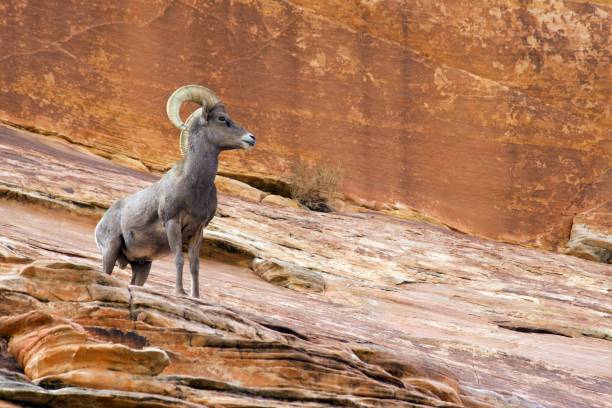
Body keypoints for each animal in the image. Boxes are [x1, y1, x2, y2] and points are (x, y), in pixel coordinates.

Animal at [95, 85, 256, 296]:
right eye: (222, 119)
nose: (251, 138)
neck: (195, 186)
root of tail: (101, 222)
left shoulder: (198, 229)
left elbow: (194, 265)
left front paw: (195, 296)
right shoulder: (173, 223)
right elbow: (179, 259)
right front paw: (180, 292)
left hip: (143, 265)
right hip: (110, 250)